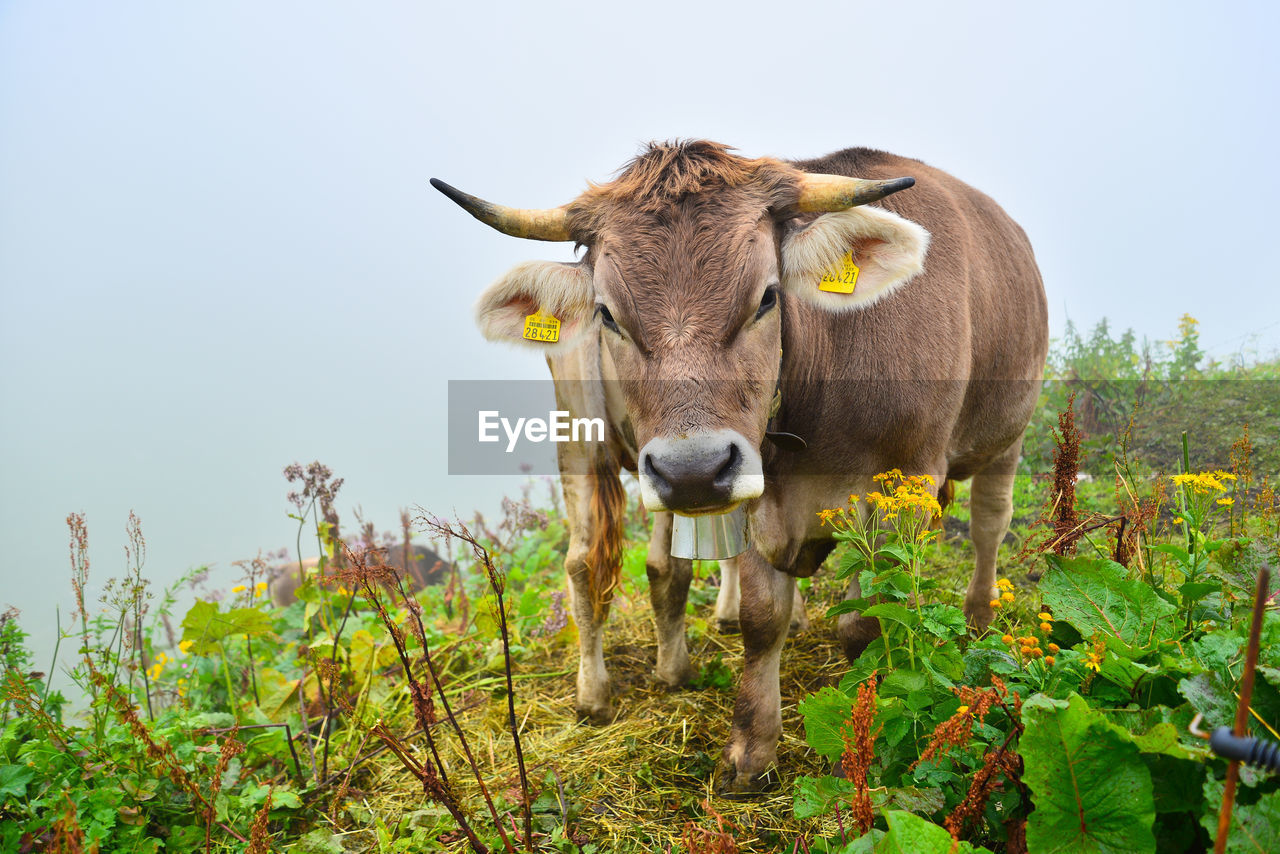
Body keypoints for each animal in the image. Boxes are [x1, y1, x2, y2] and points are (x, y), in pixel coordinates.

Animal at [435, 142, 1044, 793]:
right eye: (608, 313)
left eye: (768, 297)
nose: (692, 470)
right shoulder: (756, 487)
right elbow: (762, 614)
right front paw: (753, 748)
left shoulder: (906, 476)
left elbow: (867, 617)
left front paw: (866, 715)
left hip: (1008, 434)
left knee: (989, 526)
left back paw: (979, 618)